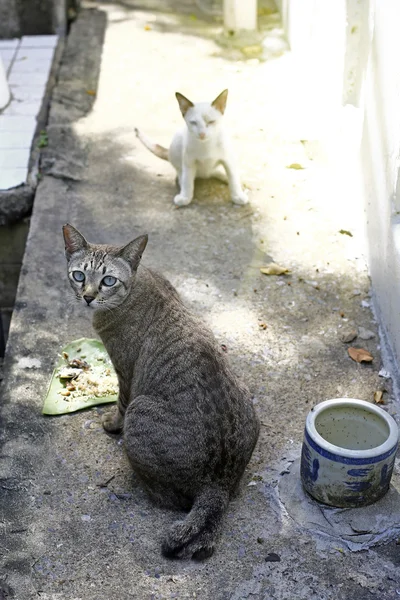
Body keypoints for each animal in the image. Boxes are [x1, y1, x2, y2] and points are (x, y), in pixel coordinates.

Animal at [61, 223, 258, 560]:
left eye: (108, 280)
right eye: (79, 275)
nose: (87, 297)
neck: (139, 282)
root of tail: (217, 484)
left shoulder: (125, 372)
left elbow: (120, 403)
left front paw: (110, 424)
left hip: (140, 412)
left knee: (169, 499)